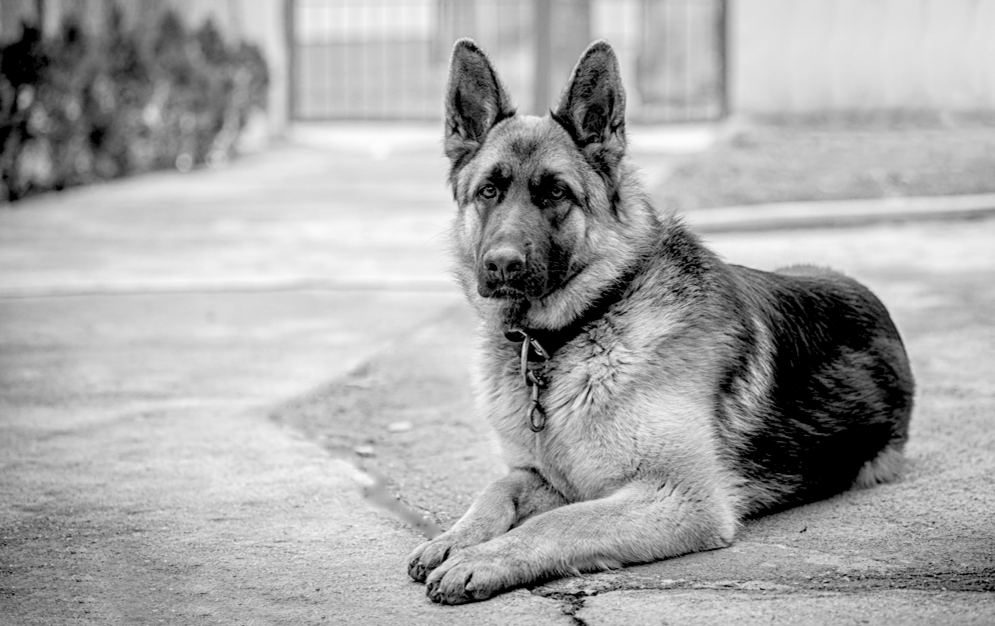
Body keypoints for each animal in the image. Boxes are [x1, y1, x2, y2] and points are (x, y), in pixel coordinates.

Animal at [406, 40, 920, 604]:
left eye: (557, 193)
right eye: (489, 191)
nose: (501, 265)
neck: (579, 329)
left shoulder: (681, 497)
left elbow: (557, 523)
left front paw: (483, 559)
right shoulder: (540, 476)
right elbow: (497, 489)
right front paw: (454, 538)